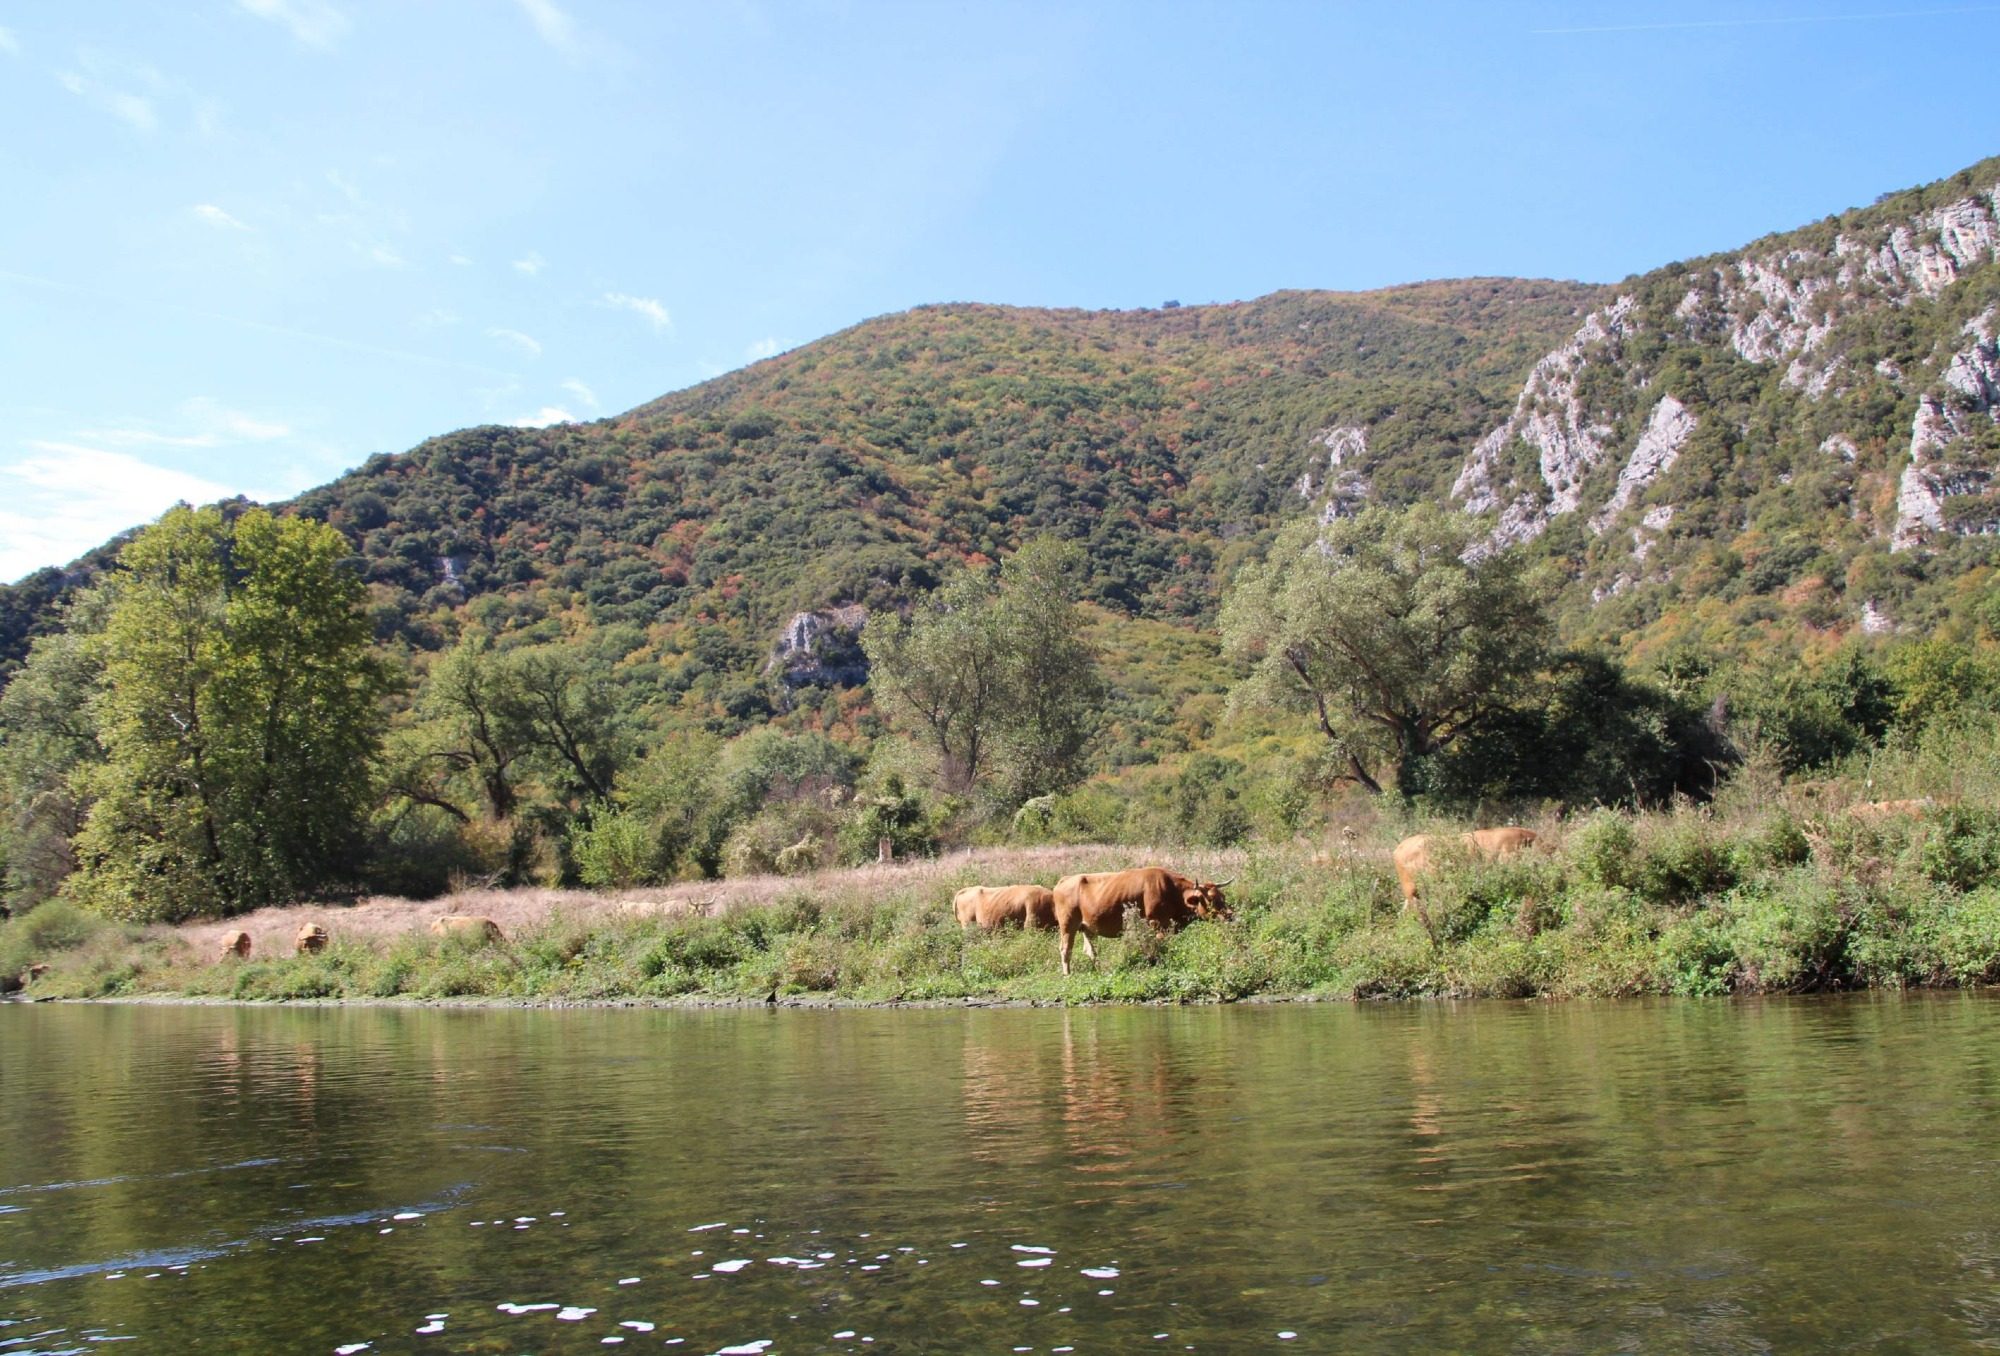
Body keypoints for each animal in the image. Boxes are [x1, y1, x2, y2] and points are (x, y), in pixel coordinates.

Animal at [1050, 867, 1232, 976]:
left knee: (1090, 950)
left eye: (1222, 897)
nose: (1229, 915)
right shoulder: (1158, 924)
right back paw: (1067, 974)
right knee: (1065, 949)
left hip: (1087, 928)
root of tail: (1065, 880)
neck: (1173, 891)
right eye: (1210, 899)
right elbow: (1160, 947)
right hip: (1068, 925)